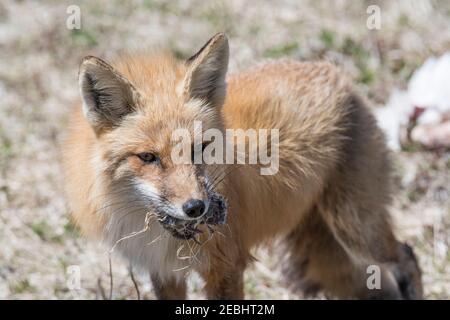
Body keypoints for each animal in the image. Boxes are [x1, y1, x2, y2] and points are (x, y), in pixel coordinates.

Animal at [61, 33, 424, 298]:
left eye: (200, 148)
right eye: (148, 157)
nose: (196, 207)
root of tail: (334, 72)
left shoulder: (226, 267)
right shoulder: (164, 272)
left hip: (356, 227)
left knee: (408, 255)